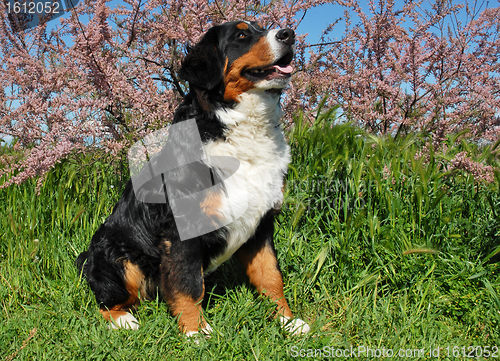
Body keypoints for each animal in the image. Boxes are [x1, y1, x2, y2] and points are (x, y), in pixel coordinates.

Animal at [76, 20, 310, 334]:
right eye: (242, 35)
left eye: (262, 27)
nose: (288, 34)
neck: (238, 131)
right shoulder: (182, 229)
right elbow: (188, 284)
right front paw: (196, 331)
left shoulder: (261, 224)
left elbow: (270, 275)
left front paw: (287, 321)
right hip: (117, 256)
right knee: (105, 302)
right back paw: (124, 320)